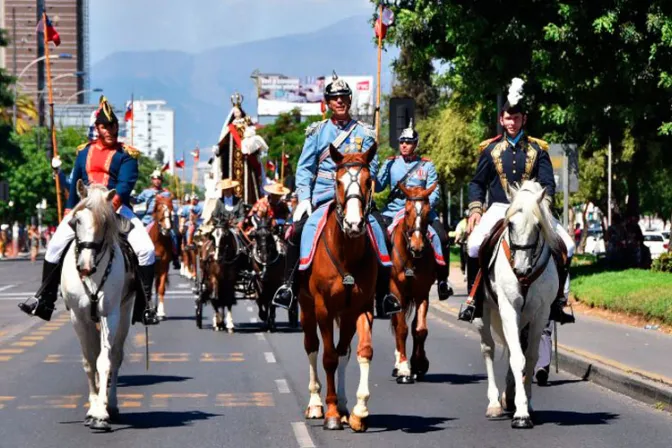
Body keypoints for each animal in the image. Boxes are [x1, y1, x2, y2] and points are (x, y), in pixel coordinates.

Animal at [62, 180, 135, 432]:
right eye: (76, 221)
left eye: (104, 222)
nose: (85, 266)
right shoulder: (78, 317)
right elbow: (89, 361)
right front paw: (93, 406)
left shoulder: (109, 315)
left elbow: (104, 361)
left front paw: (100, 413)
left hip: (125, 314)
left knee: (116, 356)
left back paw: (110, 404)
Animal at [300, 143, 378, 430]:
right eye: (338, 181)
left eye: (368, 180)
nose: (354, 224)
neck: (347, 254)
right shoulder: (322, 308)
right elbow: (328, 357)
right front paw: (331, 413)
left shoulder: (361, 307)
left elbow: (361, 351)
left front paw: (358, 410)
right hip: (306, 308)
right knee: (312, 346)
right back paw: (316, 403)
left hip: (344, 315)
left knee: (343, 350)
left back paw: (344, 405)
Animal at [388, 182, 440, 384]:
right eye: (408, 211)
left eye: (427, 212)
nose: (417, 247)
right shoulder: (397, 292)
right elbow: (401, 328)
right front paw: (403, 369)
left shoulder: (422, 293)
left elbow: (420, 329)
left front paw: (419, 363)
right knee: (397, 324)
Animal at [476, 180, 564, 428]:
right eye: (511, 224)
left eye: (538, 225)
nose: (522, 270)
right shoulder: (508, 308)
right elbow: (518, 358)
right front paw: (521, 413)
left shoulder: (540, 313)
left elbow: (531, 356)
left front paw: (526, 403)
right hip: (484, 314)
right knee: (489, 349)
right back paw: (494, 403)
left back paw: (509, 395)